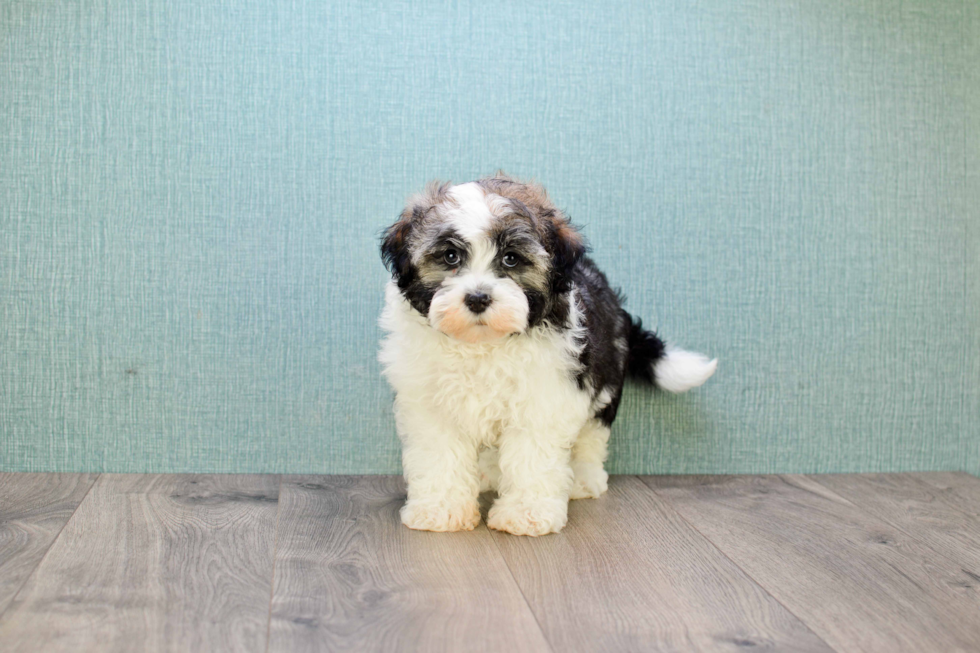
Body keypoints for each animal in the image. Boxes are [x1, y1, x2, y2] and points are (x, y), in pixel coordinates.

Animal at [378, 173, 716, 536]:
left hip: (605, 379)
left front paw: (526, 513)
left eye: (511, 258)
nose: (478, 298)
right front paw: (441, 509)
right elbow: (440, 452)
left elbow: (532, 455)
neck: (483, 343)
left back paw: (583, 479)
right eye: (450, 256)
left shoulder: (546, 396)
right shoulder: (430, 401)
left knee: (592, 435)